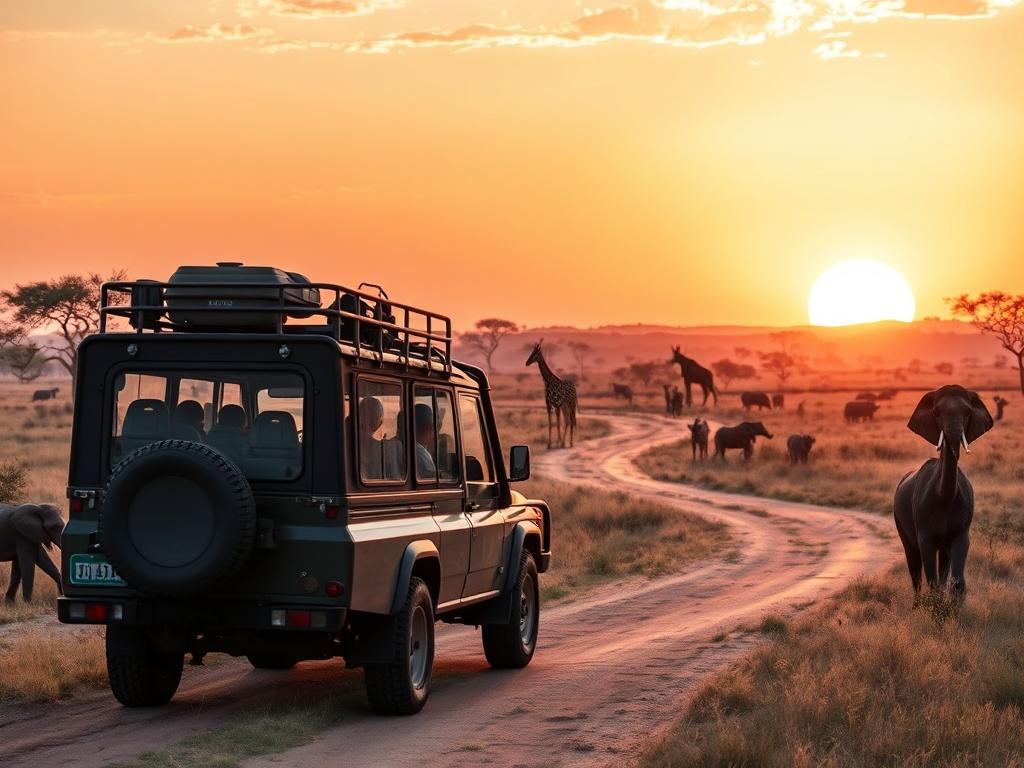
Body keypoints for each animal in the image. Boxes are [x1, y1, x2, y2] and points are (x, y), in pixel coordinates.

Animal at [893, 385, 993, 601]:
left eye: (967, 413)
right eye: (936, 413)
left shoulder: (963, 523)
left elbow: (960, 550)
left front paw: (953, 603)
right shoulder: (923, 523)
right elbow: (927, 556)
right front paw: (935, 603)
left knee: (944, 559)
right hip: (898, 517)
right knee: (913, 562)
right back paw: (917, 602)